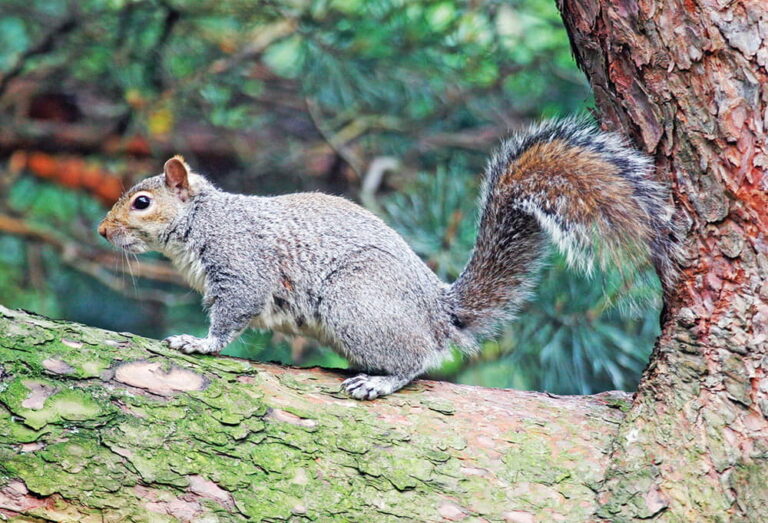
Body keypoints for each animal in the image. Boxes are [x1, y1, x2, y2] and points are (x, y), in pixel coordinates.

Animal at [98, 118, 678, 400]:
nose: (103, 231)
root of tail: (438, 311)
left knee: (418, 359)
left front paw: (198, 343)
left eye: (142, 202)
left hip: (355, 301)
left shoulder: (242, 267)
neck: (203, 221)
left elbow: (231, 317)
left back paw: (379, 380)